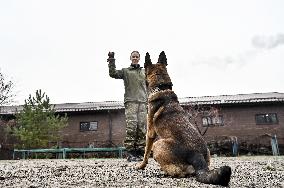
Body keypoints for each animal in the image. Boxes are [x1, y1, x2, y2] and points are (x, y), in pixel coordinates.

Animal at [136, 50, 232, 186]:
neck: (162, 87)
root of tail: (197, 156)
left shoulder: (150, 133)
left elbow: (145, 153)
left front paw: (141, 166)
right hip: (207, 153)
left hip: (158, 144)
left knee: (178, 172)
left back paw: (163, 173)